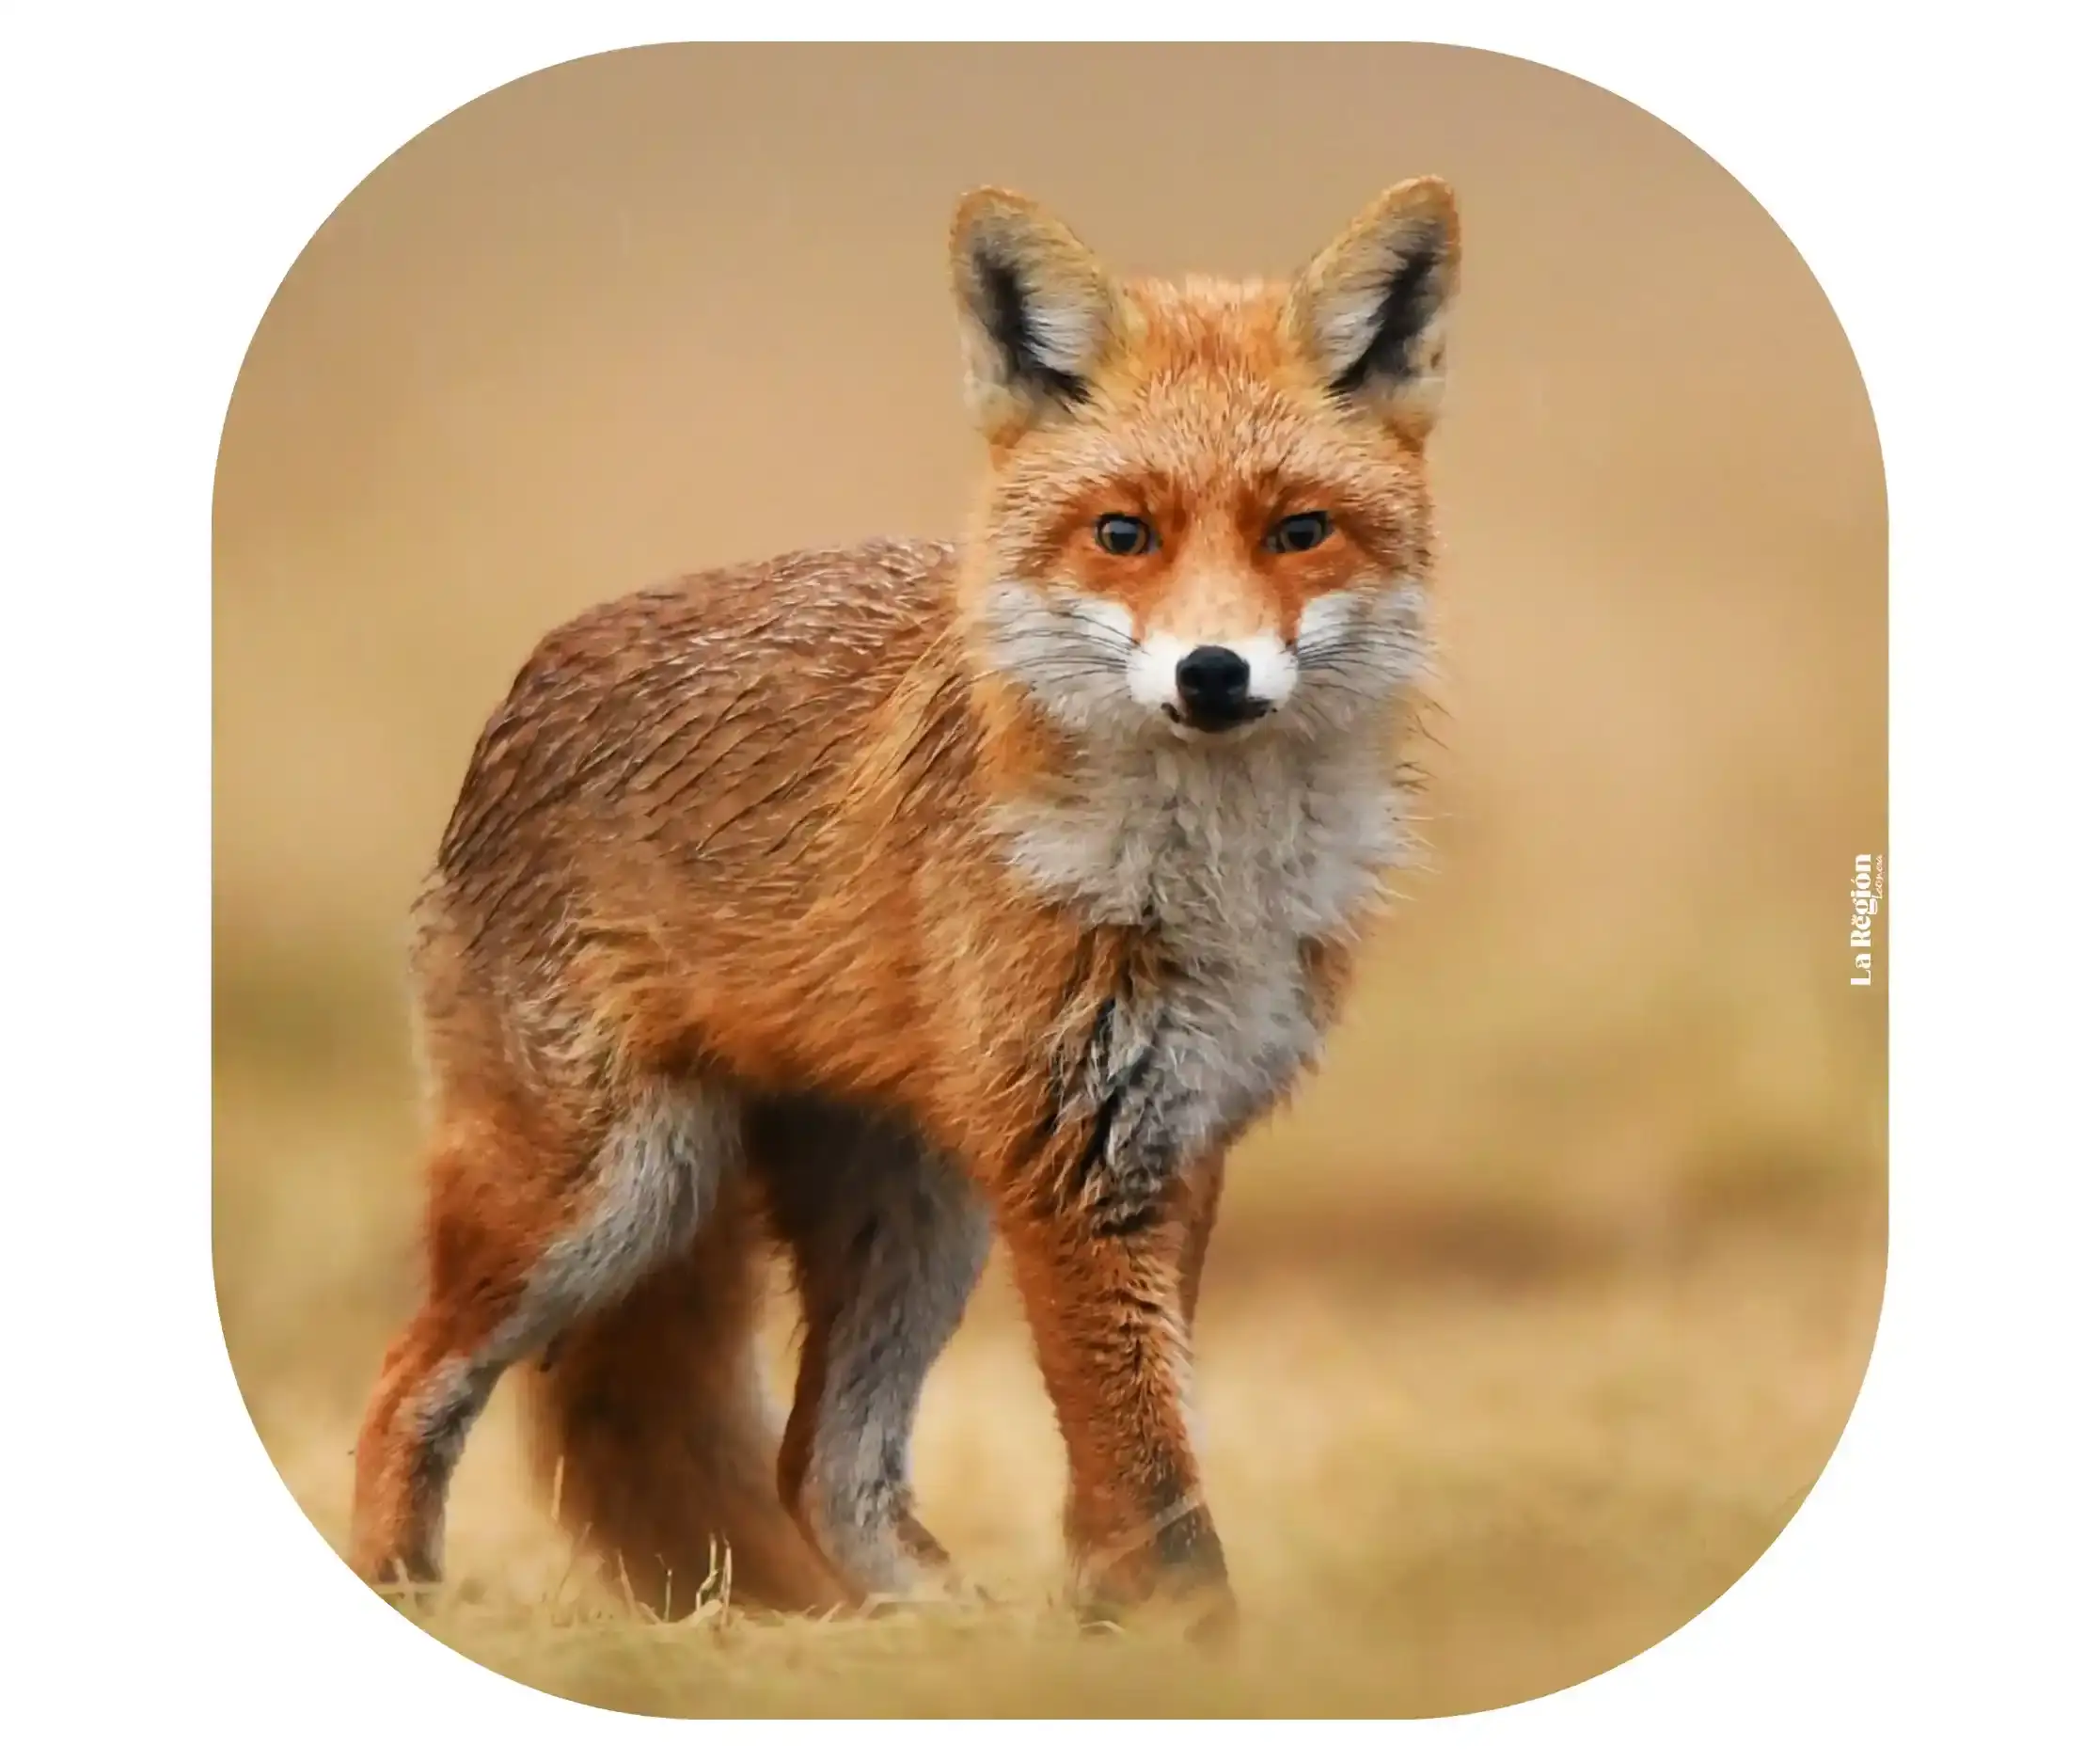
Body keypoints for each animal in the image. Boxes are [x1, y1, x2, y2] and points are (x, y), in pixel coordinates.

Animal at [348, 176, 1459, 1638]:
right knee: (403, 1381)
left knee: (817, 1462)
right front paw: (1192, 1648)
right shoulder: (1074, 1161)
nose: (1212, 674)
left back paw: (947, 1634)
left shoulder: (1177, 1139)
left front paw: (1107, 1632)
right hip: (602, 1198)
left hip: (908, 1215)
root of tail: (533, 677)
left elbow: (1132, 1457)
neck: (1208, 881)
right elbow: (1151, 1478)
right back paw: (402, 1590)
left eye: (1297, 531)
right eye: (1124, 535)